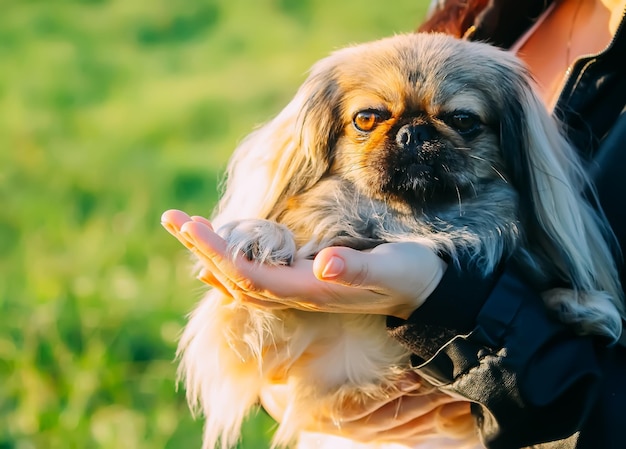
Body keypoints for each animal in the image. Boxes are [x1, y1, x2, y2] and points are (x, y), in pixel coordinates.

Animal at [174, 33, 620, 446]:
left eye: (463, 120)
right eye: (367, 119)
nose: (414, 131)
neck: (408, 222)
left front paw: (580, 305)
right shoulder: (249, 340)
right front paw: (264, 234)